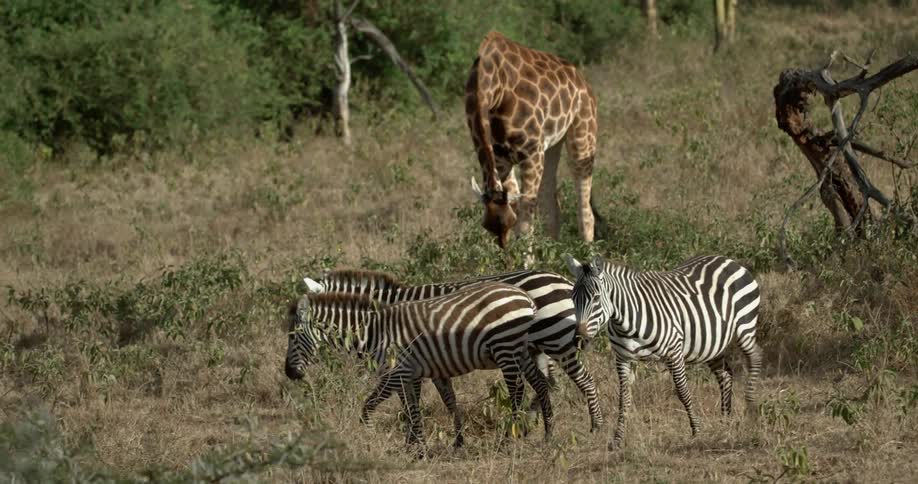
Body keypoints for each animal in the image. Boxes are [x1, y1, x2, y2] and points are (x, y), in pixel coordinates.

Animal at [284, 281, 554, 450]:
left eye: (293, 336)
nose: (289, 373)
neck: (374, 332)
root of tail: (526, 297)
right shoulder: (409, 374)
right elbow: (411, 409)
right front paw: (414, 446)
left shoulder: (396, 373)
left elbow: (371, 406)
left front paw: (371, 436)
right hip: (519, 349)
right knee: (540, 384)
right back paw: (549, 435)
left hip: (505, 347)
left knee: (517, 391)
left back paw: (509, 438)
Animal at [303, 268, 604, 431]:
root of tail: (565, 281)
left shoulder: (409, 360)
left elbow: (409, 399)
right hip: (537, 347)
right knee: (547, 383)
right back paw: (532, 421)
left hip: (555, 340)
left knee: (580, 381)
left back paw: (594, 425)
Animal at [466, 31, 600, 250]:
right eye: (486, 226)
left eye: (509, 222)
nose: (504, 248)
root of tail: (581, 79)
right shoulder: (501, 157)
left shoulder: (530, 152)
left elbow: (525, 224)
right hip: (551, 146)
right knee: (552, 207)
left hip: (583, 134)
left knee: (585, 209)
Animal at [563, 253, 763, 449]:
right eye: (572, 299)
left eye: (596, 298)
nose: (579, 340)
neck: (626, 322)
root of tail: (729, 260)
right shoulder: (623, 358)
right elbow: (624, 399)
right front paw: (617, 439)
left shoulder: (674, 351)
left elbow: (682, 392)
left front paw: (696, 430)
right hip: (712, 344)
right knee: (725, 375)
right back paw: (725, 418)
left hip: (744, 327)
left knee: (755, 357)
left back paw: (751, 407)